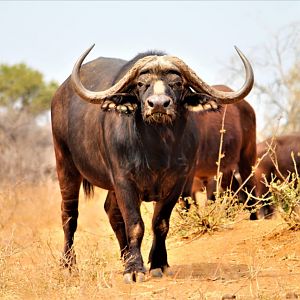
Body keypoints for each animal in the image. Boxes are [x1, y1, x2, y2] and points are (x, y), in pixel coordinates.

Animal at [51, 44, 253, 282]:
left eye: (177, 83)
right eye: (141, 84)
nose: (158, 104)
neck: (157, 149)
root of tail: (60, 94)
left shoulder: (179, 182)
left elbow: (160, 223)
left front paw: (157, 263)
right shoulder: (124, 180)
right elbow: (134, 224)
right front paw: (134, 269)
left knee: (111, 212)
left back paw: (125, 257)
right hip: (65, 164)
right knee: (69, 215)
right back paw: (69, 265)